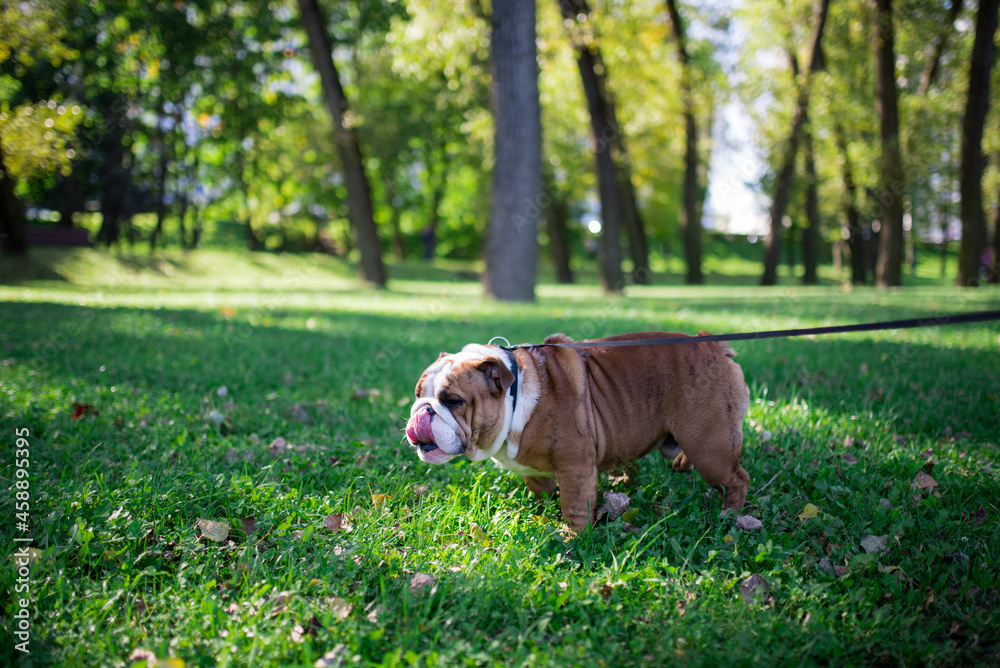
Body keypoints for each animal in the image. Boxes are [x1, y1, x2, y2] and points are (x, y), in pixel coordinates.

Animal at [402, 332, 748, 528]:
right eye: (418, 394)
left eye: (453, 401)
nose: (422, 411)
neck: (516, 400)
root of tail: (711, 343)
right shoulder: (535, 472)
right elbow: (541, 490)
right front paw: (540, 513)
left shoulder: (575, 467)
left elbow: (575, 506)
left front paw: (572, 538)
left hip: (710, 446)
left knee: (736, 478)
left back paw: (729, 516)